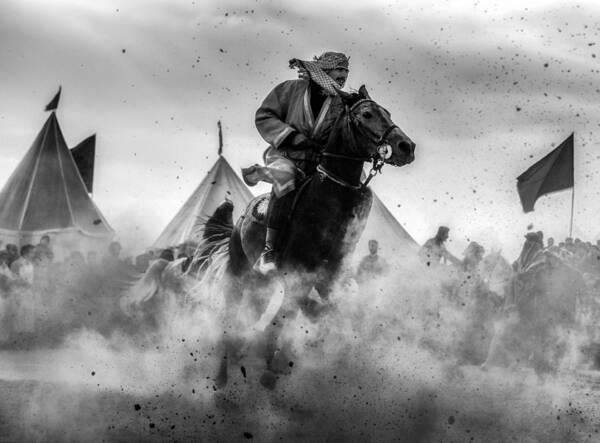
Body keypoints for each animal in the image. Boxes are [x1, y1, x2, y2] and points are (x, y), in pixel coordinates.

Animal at [204, 85, 414, 390]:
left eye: (387, 112)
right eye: (367, 114)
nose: (405, 146)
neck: (331, 197)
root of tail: (240, 219)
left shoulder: (329, 277)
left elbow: (325, 313)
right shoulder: (298, 273)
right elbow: (289, 314)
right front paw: (271, 370)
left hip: (260, 284)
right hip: (239, 273)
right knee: (232, 316)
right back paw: (223, 373)